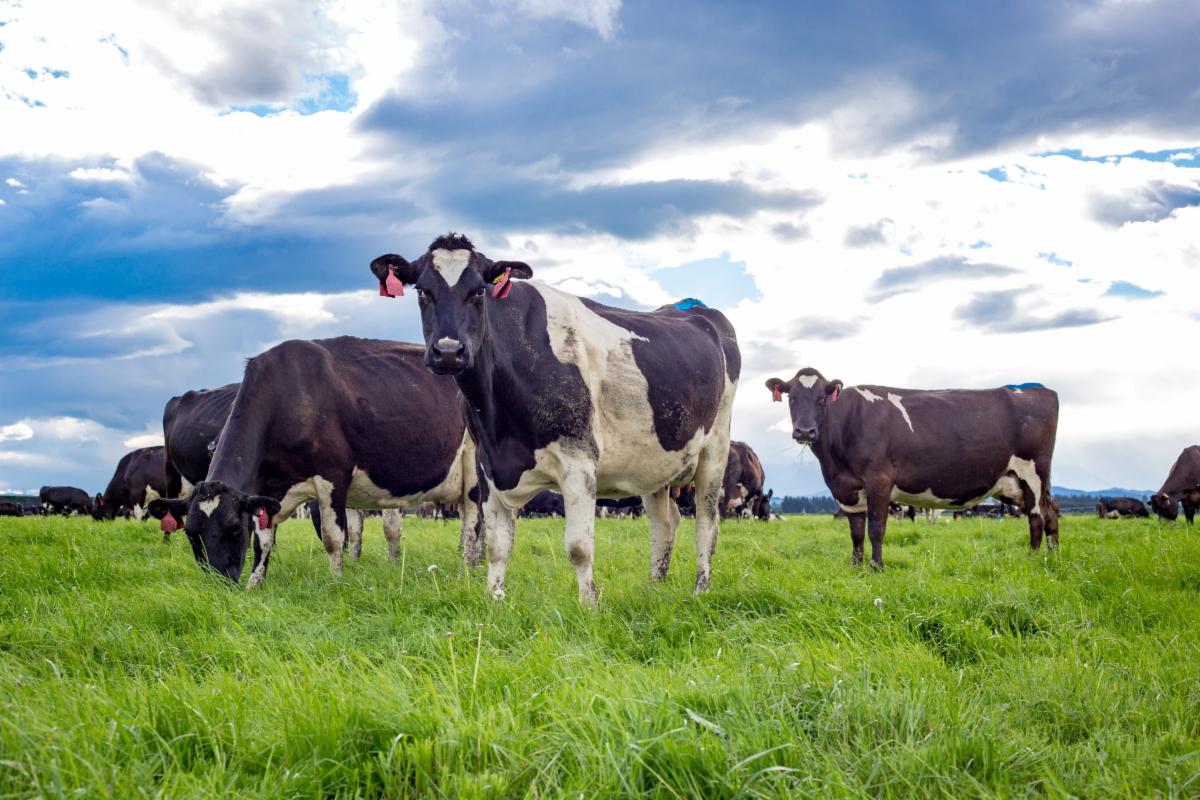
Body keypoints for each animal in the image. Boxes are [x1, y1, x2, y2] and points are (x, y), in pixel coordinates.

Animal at [153, 336, 480, 586]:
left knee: (474, 524)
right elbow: (263, 540)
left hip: (474, 466)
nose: (220, 582)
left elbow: (333, 538)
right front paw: (254, 584)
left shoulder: (333, 476)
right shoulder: (266, 491)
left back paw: (468, 572)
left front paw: (336, 581)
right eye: (191, 534)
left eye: (234, 529)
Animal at [371, 234, 740, 603]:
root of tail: (698, 310)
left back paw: (701, 588)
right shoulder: (486, 464)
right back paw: (654, 587)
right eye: (422, 291)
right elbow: (497, 545)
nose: (448, 351)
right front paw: (495, 602)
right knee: (665, 523)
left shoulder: (579, 461)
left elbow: (579, 547)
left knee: (707, 523)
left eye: (478, 291)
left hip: (716, 448)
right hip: (653, 463)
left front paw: (589, 605)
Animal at [765, 368, 1059, 568]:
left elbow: (876, 528)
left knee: (1037, 516)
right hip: (1013, 483)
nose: (805, 430)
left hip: (1033, 472)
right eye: (791, 397)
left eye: (822, 399)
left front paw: (877, 567)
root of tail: (1037, 387)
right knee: (1052, 512)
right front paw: (856, 567)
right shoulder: (847, 489)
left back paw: (1032, 558)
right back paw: (1052, 556)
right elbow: (856, 532)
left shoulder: (879, 480)